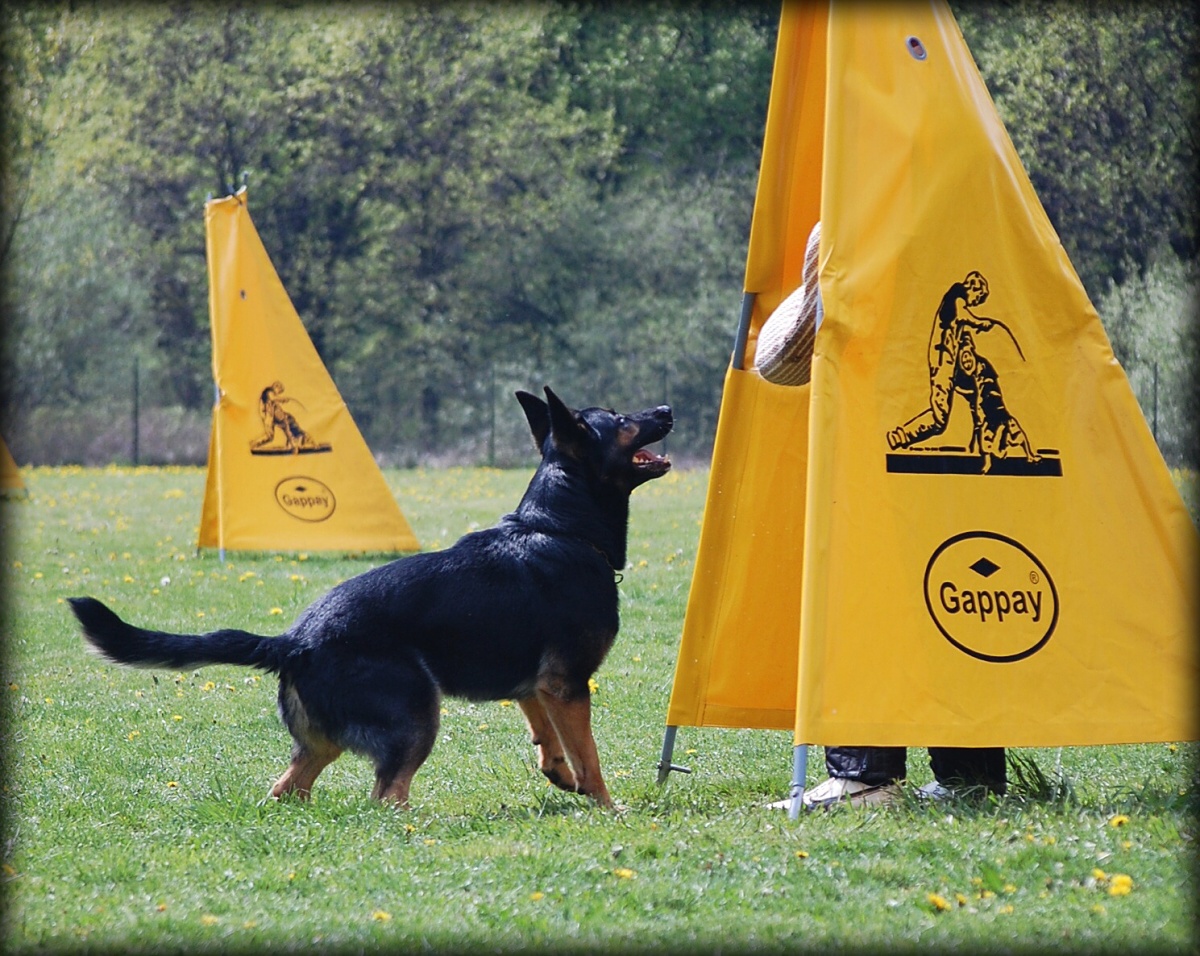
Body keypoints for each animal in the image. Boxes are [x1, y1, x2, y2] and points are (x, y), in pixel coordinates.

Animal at [68, 388, 676, 806]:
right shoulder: (568, 685)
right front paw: (608, 808)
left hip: (325, 744)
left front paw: (559, 775)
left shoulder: (538, 685)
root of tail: (292, 641)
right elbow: (591, 758)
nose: (667, 409)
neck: (558, 527)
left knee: (288, 789)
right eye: (622, 420)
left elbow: (547, 738)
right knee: (385, 796)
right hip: (416, 716)